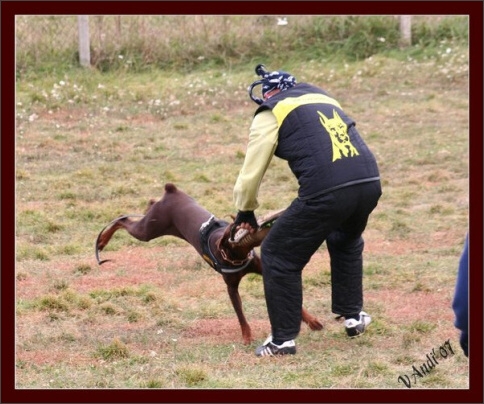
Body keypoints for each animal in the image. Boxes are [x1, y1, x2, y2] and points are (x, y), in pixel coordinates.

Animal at [95, 183, 322, 344]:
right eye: (238, 227)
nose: (266, 221)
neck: (235, 253)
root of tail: (171, 190)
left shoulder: (261, 270)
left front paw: (312, 321)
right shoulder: (231, 287)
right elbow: (241, 315)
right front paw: (247, 337)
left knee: (143, 207)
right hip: (149, 229)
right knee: (123, 220)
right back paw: (102, 241)